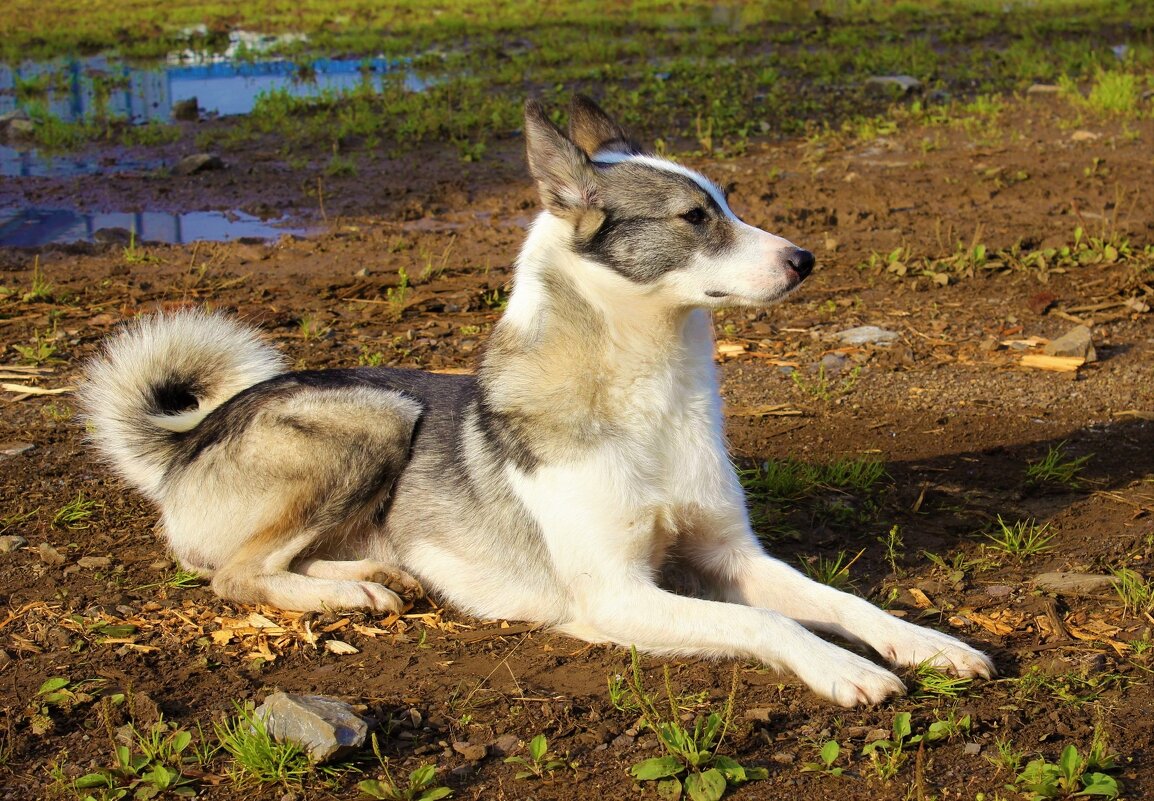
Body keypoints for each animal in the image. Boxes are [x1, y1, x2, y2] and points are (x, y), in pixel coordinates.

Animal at [81, 97, 992, 706]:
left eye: (727, 203)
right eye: (696, 217)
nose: (806, 259)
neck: (650, 395)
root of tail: (191, 437)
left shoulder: (735, 557)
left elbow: (841, 600)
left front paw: (926, 643)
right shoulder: (618, 596)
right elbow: (772, 626)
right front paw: (847, 668)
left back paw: (374, 572)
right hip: (377, 414)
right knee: (233, 574)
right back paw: (346, 594)